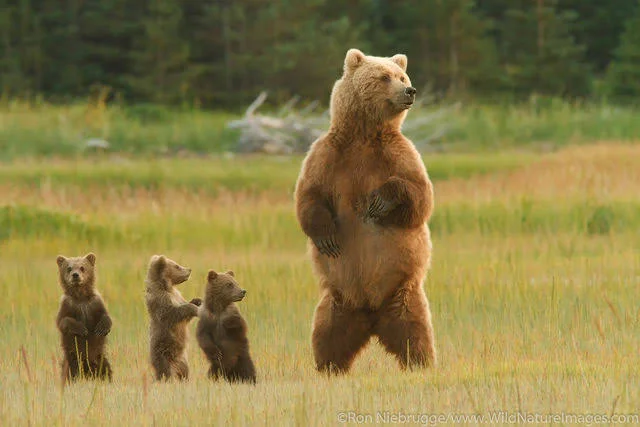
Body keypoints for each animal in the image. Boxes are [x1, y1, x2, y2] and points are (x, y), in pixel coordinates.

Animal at [294, 47, 436, 374]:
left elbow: (420, 196)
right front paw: (328, 237)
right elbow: (309, 196)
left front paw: (378, 203)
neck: (363, 134)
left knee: (416, 333)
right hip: (338, 300)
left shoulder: (399, 154)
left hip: (404, 294)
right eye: (384, 77)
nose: (409, 91)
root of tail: (371, 315)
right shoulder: (327, 154)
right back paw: (328, 367)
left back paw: (421, 364)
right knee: (327, 333)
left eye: (402, 76)